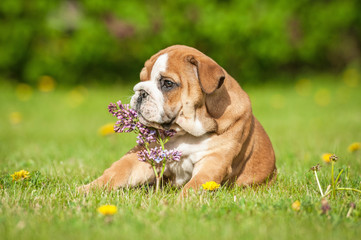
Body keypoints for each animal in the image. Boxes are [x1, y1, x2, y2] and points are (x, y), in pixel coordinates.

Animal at [80, 45, 274, 194]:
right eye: (142, 78)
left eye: (168, 83)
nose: (140, 91)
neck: (187, 131)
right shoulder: (146, 154)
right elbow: (118, 171)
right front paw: (87, 189)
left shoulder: (214, 160)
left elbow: (196, 184)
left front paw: (182, 202)